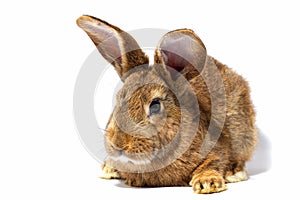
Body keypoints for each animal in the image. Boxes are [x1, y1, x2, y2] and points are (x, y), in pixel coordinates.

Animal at [76, 15, 256, 194]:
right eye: (118, 98)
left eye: (155, 105)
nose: (119, 144)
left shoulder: (217, 147)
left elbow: (215, 161)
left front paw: (207, 182)